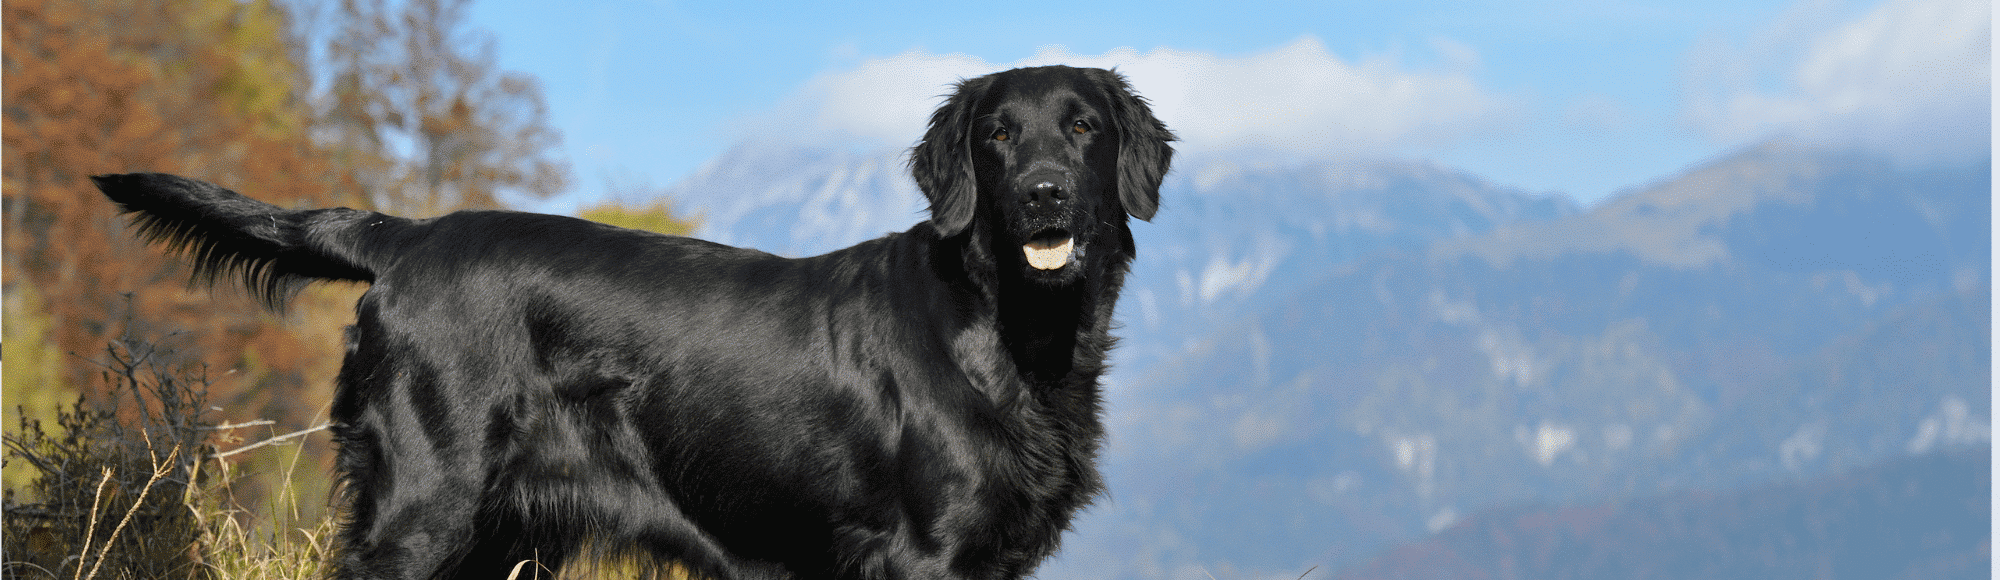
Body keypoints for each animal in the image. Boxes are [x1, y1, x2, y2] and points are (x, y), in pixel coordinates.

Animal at [97, 65, 1168, 576]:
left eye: (1083, 127)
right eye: (998, 135)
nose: (1042, 196)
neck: (1013, 333)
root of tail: (407, 238)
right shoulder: (922, 552)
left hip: (502, 538)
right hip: (424, 507)